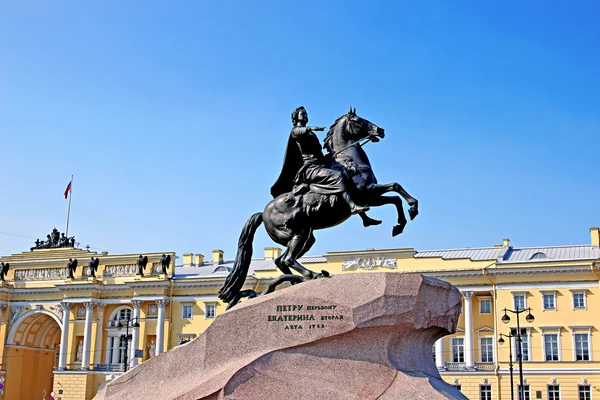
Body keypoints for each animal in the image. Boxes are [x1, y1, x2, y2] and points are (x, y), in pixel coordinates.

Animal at [218, 108, 420, 304]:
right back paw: (313, 275)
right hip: (297, 233)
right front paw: (411, 209)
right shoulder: (367, 192)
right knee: (288, 259)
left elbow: (395, 197)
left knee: (281, 261)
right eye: (358, 120)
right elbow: (395, 187)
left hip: (306, 237)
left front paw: (399, 224)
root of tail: (263, 212)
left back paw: (297, 281)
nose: (380, 130)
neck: (348, 160)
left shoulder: (370, 197)